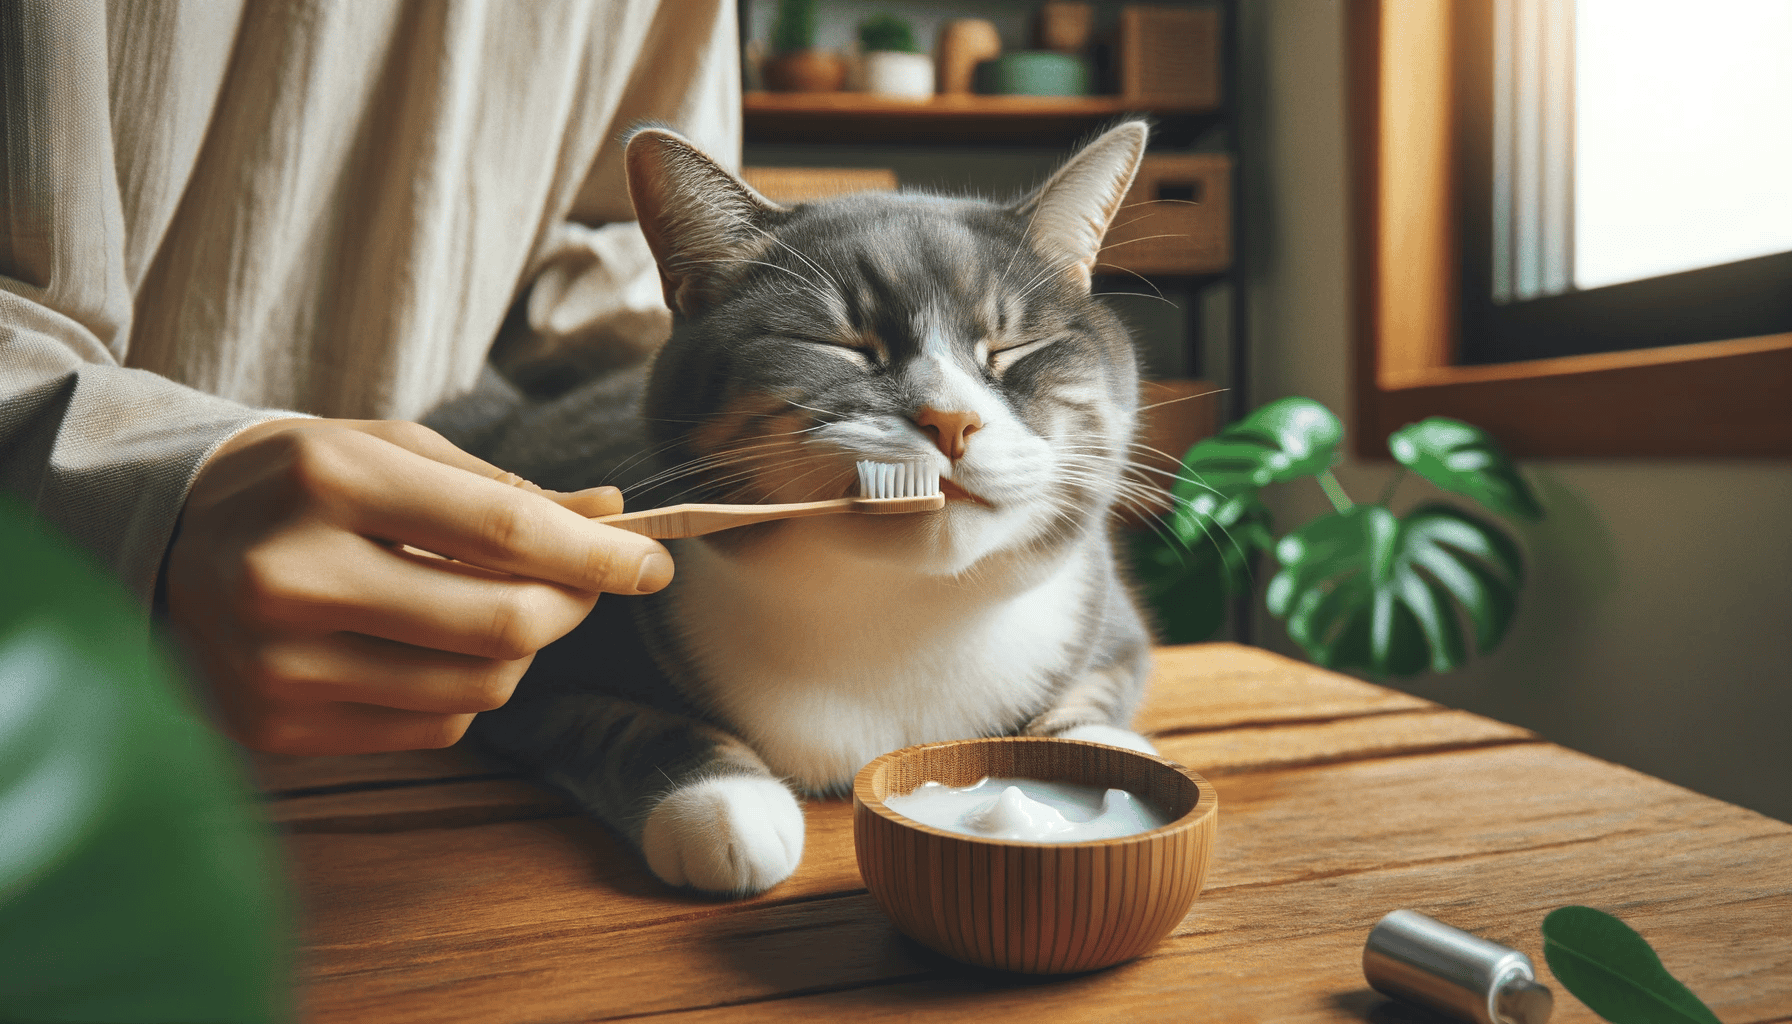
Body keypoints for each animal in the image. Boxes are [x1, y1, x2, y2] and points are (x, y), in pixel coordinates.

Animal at [440, 120, 1154, 896]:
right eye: (840, 346)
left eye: (1015, 347)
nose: (952, 421)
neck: (900, 616)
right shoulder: (536, 681)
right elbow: (625, 724)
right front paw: (724, 806)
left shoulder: (1109, 624)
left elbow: (1096, 696)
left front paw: (1101, 785)